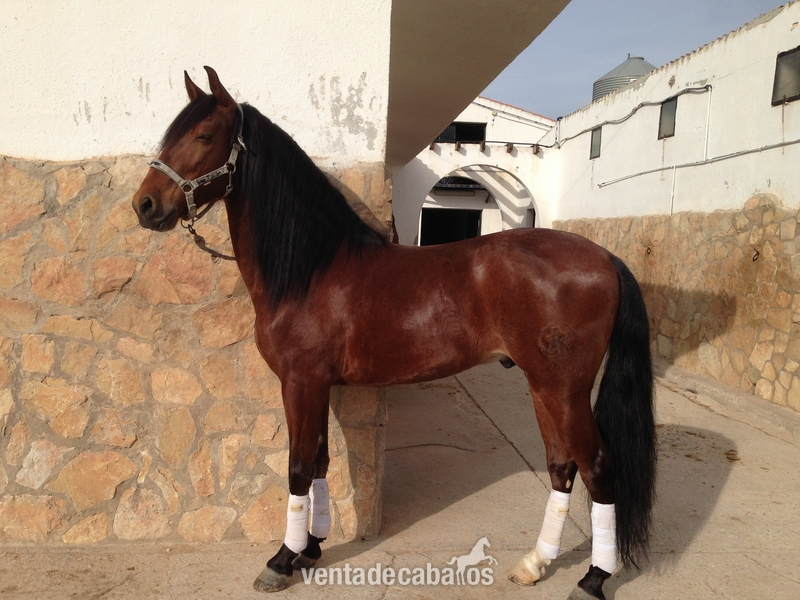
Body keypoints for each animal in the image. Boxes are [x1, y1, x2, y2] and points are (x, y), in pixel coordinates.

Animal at [132, 67, 656, 600]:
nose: (145, 205)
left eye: (204, 135)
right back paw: (535, 563)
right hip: (543, 386)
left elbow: (298, 467)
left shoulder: (300, 382)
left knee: (597, 468)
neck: (313, 269)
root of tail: (604, 257)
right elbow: (319, 462)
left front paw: (281, 560)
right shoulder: (320, 387)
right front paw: (312, 548)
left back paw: (593, 578)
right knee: (562, 466)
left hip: (564, 390)